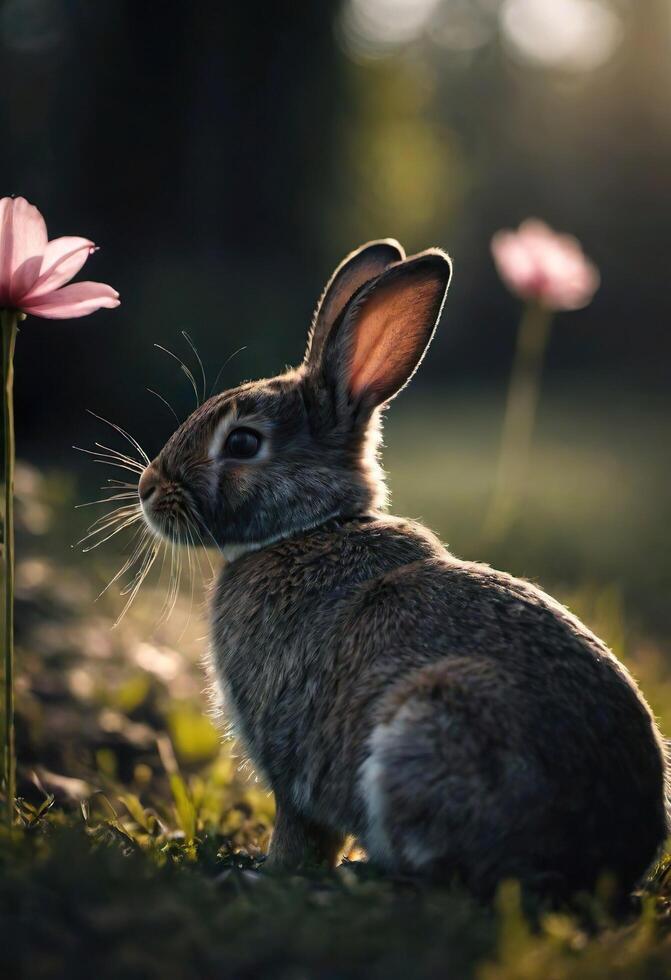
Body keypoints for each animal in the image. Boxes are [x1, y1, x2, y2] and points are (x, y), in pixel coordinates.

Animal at [139, 241, 668, 900]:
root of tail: (603, 862)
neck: (312, 527)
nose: (147, 489)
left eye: (241, 443)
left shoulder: (290, 753)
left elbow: (301, 830)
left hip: (433, 728)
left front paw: (267, 871)